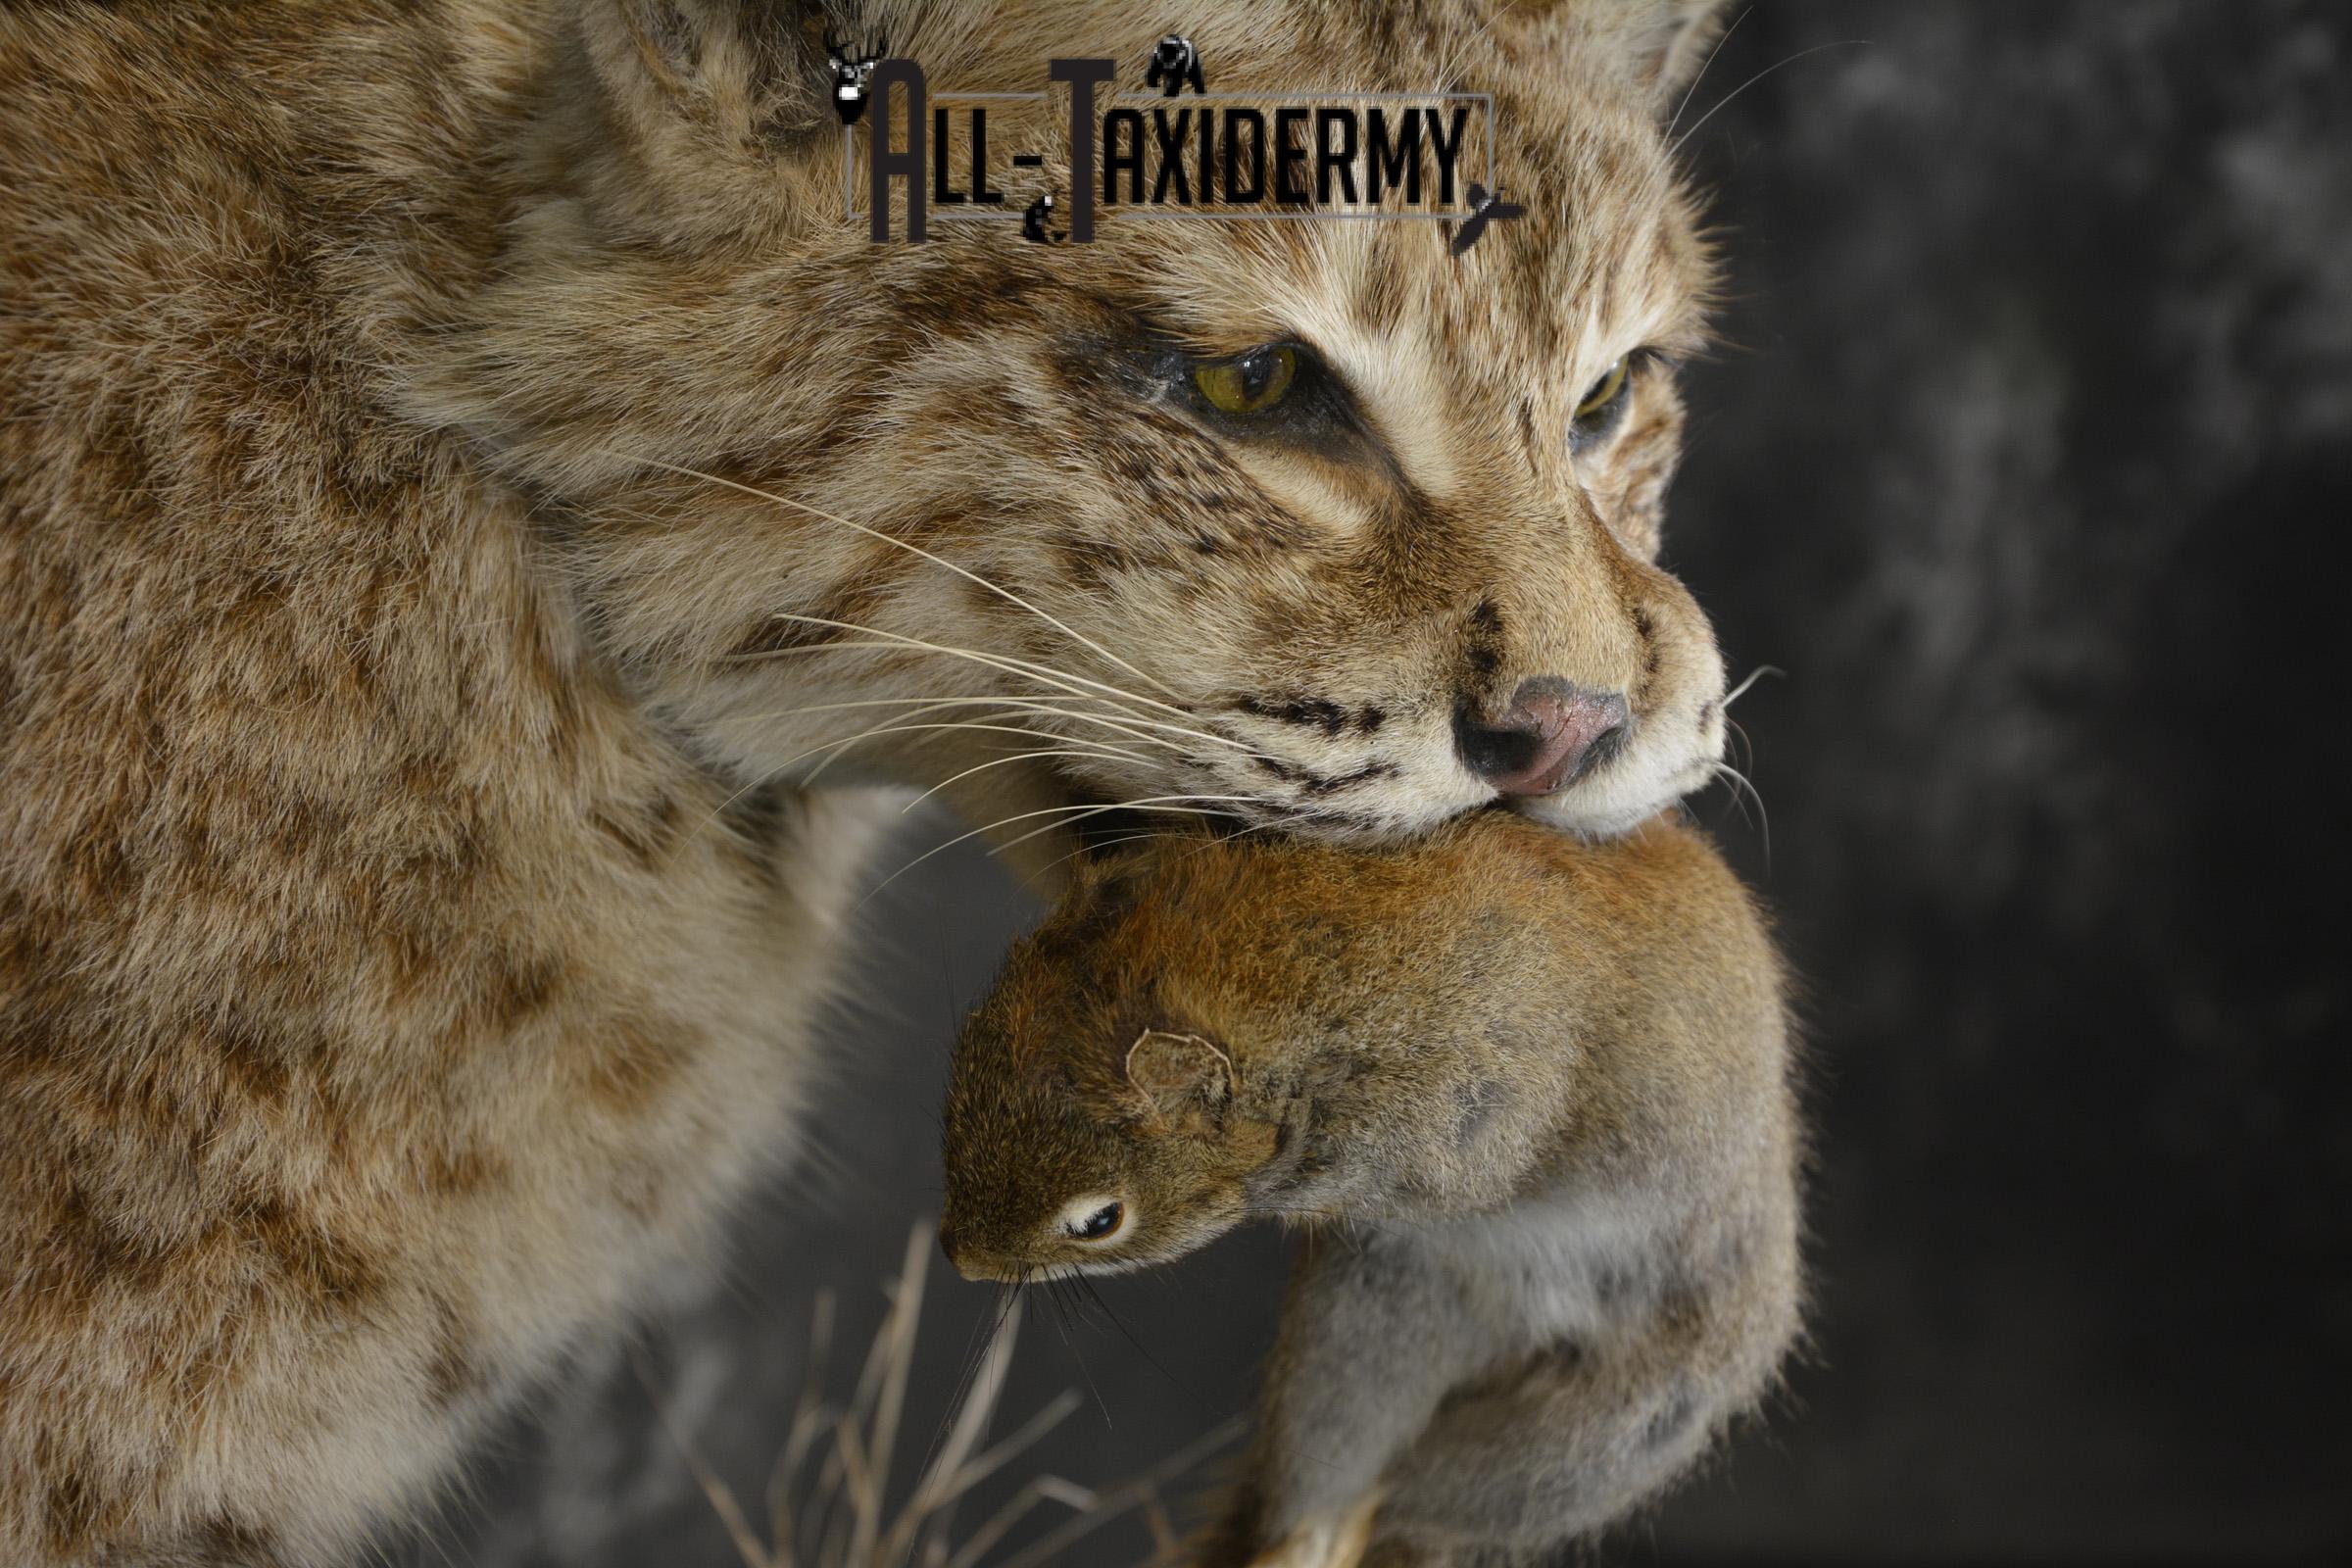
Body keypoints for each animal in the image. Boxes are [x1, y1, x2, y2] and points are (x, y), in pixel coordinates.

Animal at [940, 811, 1803, 1567]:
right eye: (961, 1069)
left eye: (1100, 1221)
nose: (959, 1259)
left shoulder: (1475, 1096)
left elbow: (1454, 1170)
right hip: (1357, 1341)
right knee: (1329, 1483)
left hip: (1618, 1424)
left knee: (1432, 1499)